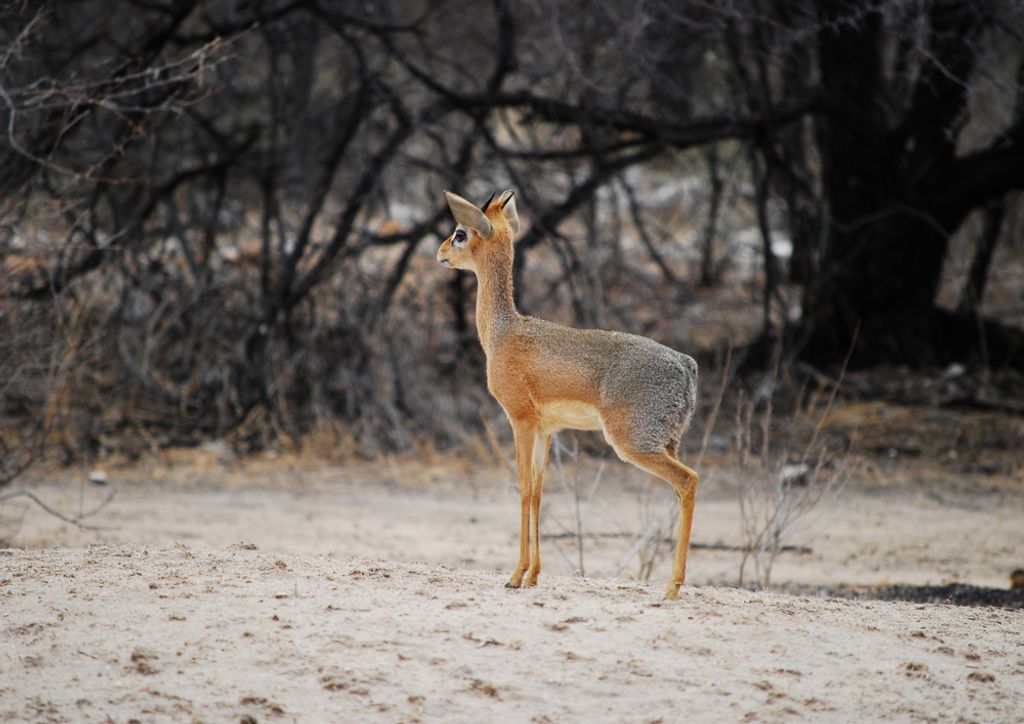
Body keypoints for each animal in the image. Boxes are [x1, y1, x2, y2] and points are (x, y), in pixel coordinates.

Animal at [436, 189, 700, 600]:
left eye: (460, 233)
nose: (440, 253)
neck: (502, 332)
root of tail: (687, 366)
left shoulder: (521, 421)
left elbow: (523, 488)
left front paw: (515, 575)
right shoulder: (548, 430)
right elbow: (540, 492)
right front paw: (533, 575)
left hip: (633, 444)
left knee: (689, 481)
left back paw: (672, 588)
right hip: (665, 443)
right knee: (681, 486)